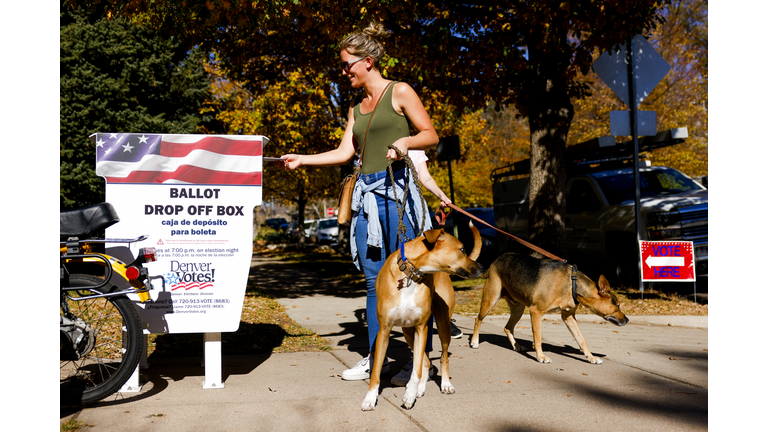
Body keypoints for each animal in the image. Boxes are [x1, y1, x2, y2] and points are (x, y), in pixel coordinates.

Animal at [364, 224, 484, 410]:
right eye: (462, 249)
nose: (481, 267)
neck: (410, 274)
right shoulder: (384, 330)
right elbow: (377, 369)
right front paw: (370, 398)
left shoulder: (422, 327)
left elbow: (418, 369)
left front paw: (409, 394)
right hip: (407, 332)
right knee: (426, 362)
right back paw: (420, 389)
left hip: (442, 325)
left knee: (441, 358)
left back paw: (444, 384)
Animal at [468, 253, 632, 364]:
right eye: (618, 305)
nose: (627, 319)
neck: (571, 284)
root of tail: (495, 261)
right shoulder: (535, 312)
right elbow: (538, 338)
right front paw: (540, 356)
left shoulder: (568, 317)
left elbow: (582, 340)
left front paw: (591, 357)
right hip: (491, 299)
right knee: (477, 319)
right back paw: (475, 341)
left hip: (518, 308)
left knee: (508, 327)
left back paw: (516, 346)